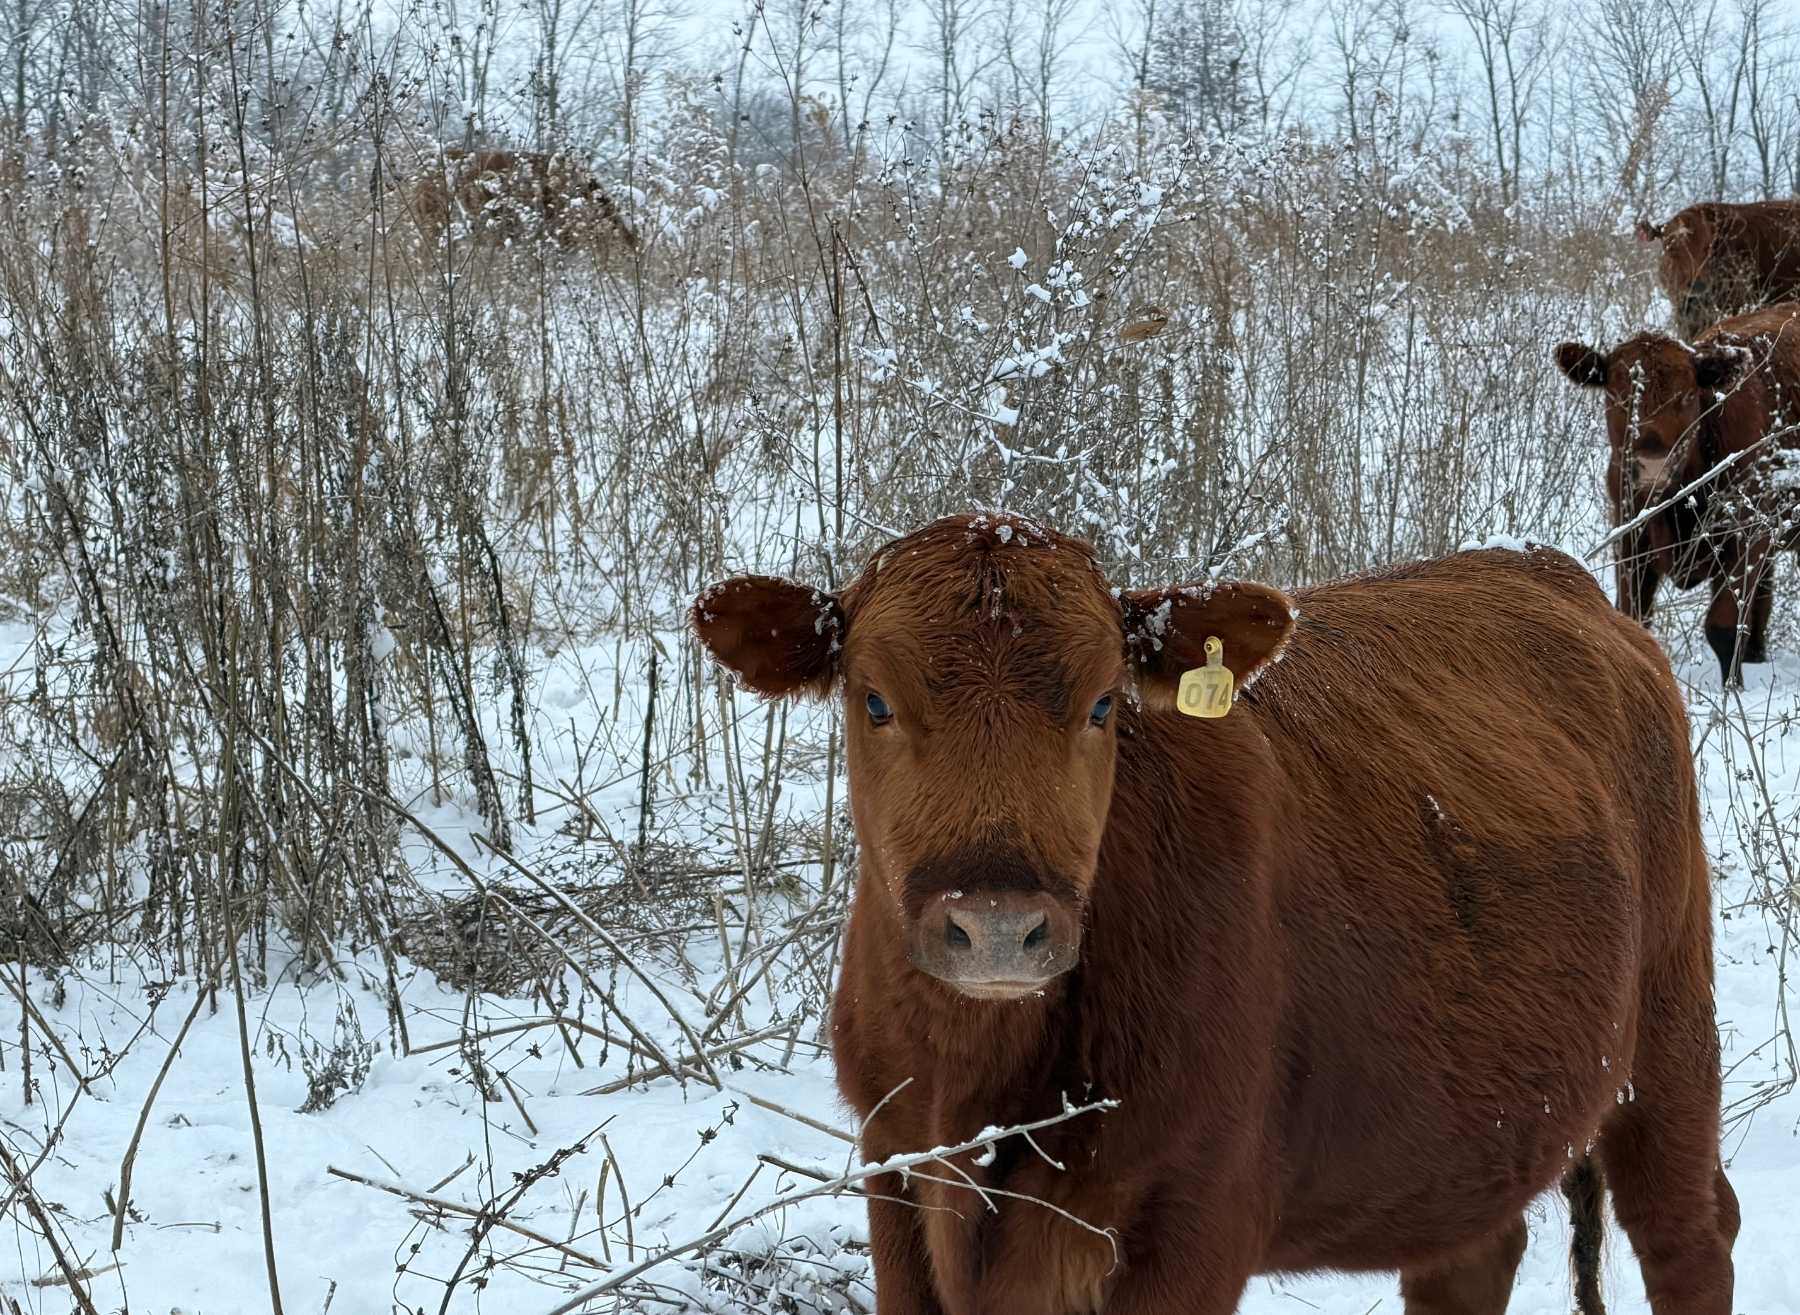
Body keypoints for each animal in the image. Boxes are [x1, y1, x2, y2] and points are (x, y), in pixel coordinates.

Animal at [692, 512, 1737, 1315]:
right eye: (874, 700)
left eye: (1103, 704)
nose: (996, 926)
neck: (978, 1078)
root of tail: (1557, 575)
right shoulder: (896, 1170)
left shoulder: (1197, 1215)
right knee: (1473, 1254)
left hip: (1668, 1032)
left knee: (1690, 1231)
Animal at [1555, 303, 1800, 685]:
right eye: (1618, 396)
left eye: (1686, 396)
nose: (1653, 467)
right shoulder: (1630, 537)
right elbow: (1633, 619)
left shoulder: (1746, 535)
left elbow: (1724, 627)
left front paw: (1733, 689)